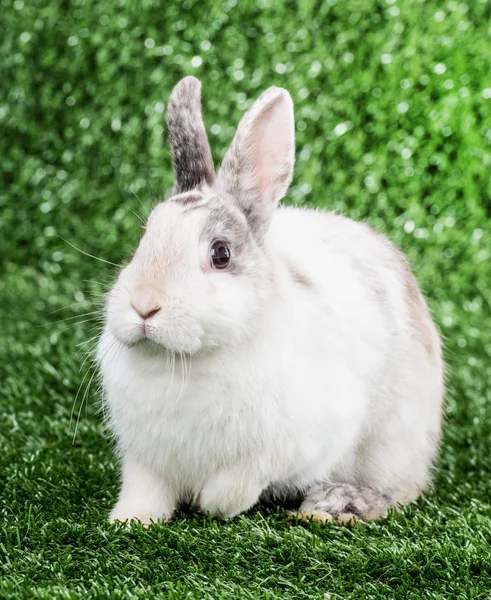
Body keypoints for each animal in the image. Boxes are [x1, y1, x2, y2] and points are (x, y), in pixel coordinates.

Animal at [99, 76, 446, 524]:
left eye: (221, 254)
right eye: (144, 238)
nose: (144, 304)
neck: (184, 363)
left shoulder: (292, 446)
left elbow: (235, 485)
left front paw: (208, 503)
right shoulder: (146, 458)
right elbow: (144, 491)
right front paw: (127, 521)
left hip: (392, 446)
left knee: (400, 491)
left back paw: (332, 505)